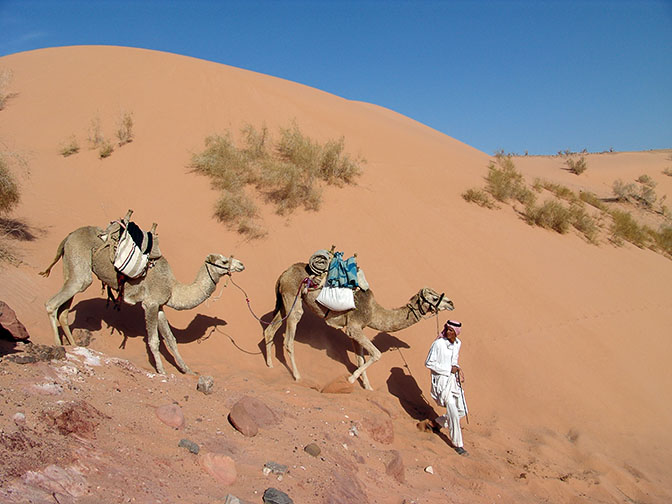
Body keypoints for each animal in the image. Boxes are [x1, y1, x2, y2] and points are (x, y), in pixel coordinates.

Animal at [39, 224, 244, 374]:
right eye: (224, 261)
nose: (241, 264)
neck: (173, 286)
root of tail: (69, 235)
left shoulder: (160, 306)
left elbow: (171, 339)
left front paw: (187, 370)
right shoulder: (150, 304)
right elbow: (154, 341)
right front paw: (162, 371)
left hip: (71, 266)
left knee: (64, 310)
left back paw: (74, 346)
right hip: (80, 268)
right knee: (52, 304)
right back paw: (58, 345)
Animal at [262, 264, 452, 390]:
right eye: (435, 298)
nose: (451, 303)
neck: (374, 311)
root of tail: (284, 274)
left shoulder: (355, 330)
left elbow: (360, 357)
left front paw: (367, 387)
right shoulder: (354, 327)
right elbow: (376, 354)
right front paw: (352, 379)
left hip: (284, 301)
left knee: (270, 330)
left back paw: (270, 365)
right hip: (293, 297)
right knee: (289, 338)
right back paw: (297, 376)